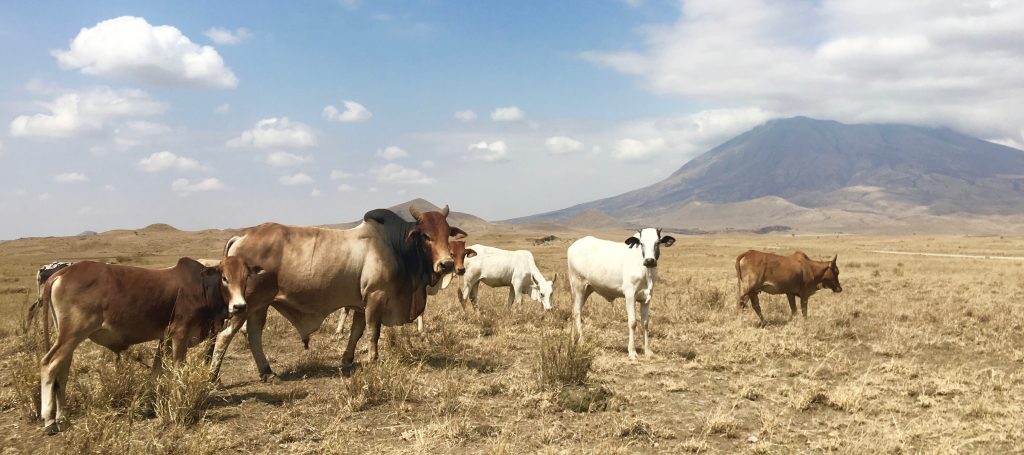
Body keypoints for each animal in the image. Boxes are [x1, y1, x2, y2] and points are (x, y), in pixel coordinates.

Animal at [36, 257, 246, 434]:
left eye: (245, 278)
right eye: (225, 278)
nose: (240, 306)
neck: (202, 287)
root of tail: (63, 272)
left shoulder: (165, 339)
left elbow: (156, 373)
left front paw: (148, 404)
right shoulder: (181, 334)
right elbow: (178, 371)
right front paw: (179, 402)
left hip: (68, 339)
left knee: (62, 373)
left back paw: (62, 417)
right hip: (72, 335)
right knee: (48, 365)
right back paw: (49, 420)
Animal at [567, 228, 676, 360]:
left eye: (657, 242)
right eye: (641, 243)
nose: (649, 261)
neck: (646, 272)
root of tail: (574, 246)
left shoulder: (646, 298)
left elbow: (645, 323)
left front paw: (648, 351)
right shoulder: (630, 295)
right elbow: (632, 322)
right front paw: (632, 352)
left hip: (587, 289)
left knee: (574, 311)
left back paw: (573, 340)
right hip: (578, 286)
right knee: (577, 312)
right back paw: (582, 341)